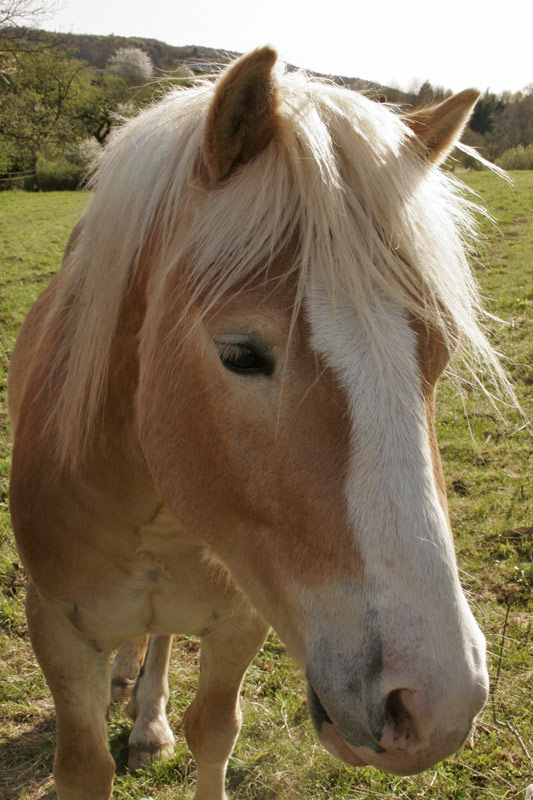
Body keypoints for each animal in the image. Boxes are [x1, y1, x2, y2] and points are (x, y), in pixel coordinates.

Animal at [8, 47, 502, 796]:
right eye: (241, 354)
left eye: (438, 351)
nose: (436, 706)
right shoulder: (58, 633)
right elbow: (85, 766)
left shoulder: (243, 621)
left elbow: (213, 730)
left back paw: (147, 719)